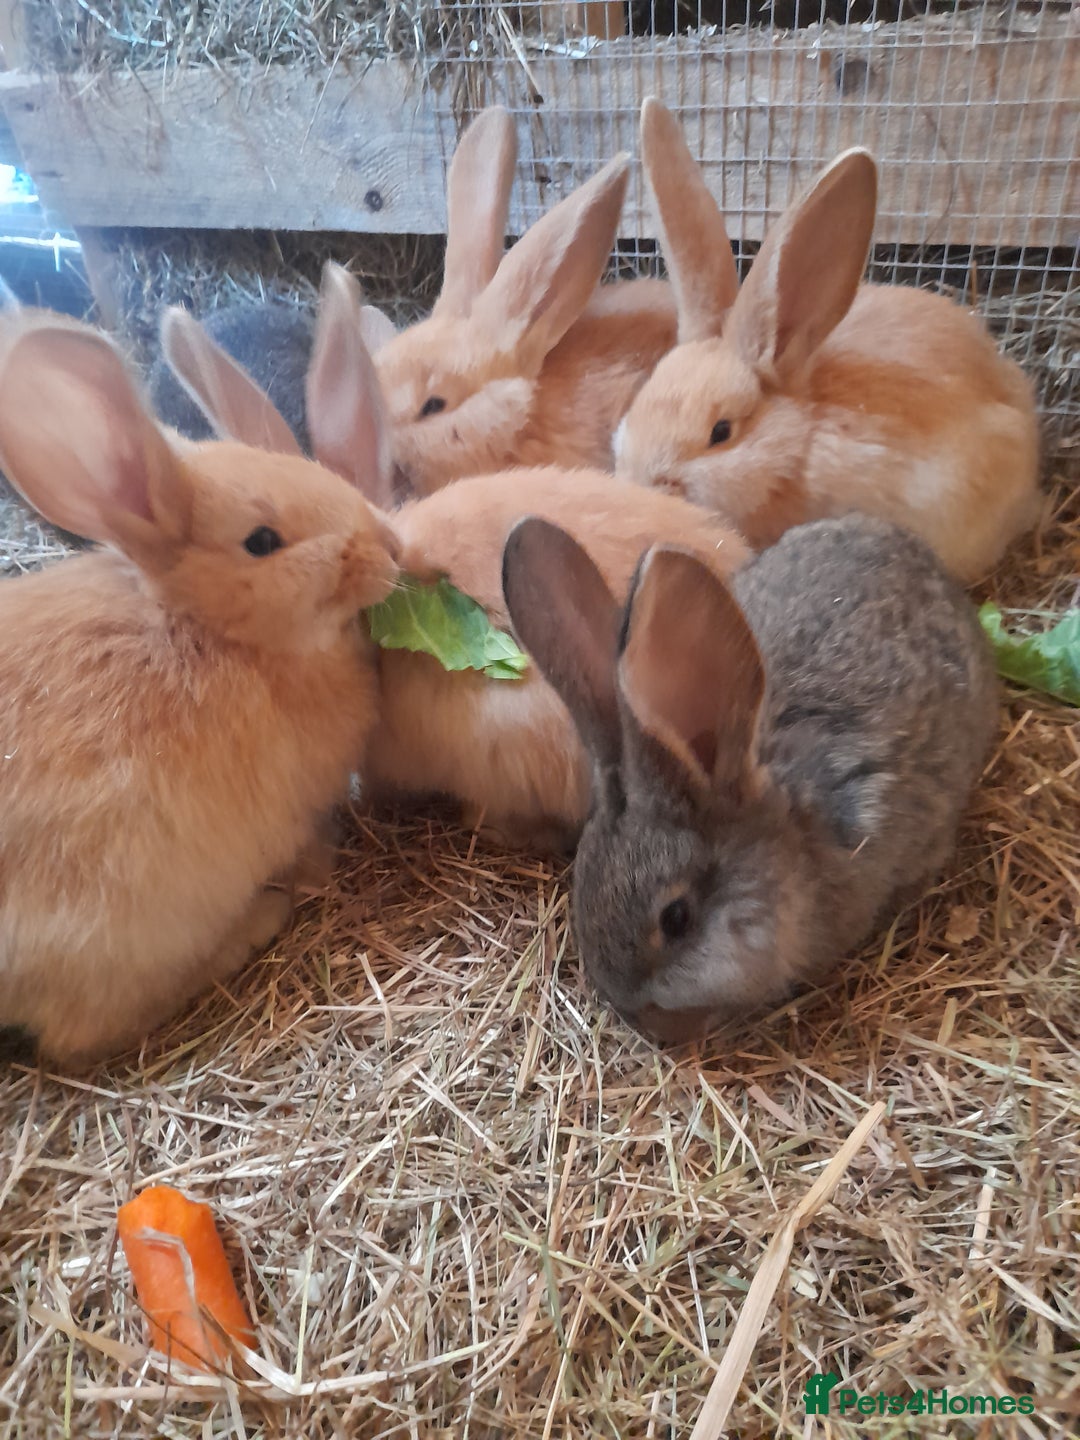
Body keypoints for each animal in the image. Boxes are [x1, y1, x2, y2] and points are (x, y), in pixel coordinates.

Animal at [0, 307, 401, 1067]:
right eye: (262, 540)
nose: (390, 547)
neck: (216, 634)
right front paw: (318, 869)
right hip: (118, 925)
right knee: (84, 1032)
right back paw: (258, 922)